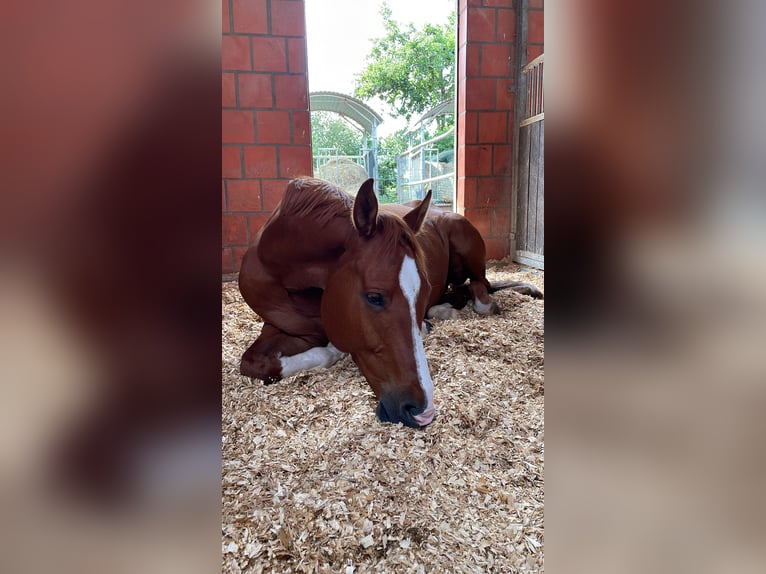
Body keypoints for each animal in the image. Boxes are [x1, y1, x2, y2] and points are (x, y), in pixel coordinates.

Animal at [238, 178, 542, 428]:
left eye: (423, 290)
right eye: (374, 297)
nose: (423, 412)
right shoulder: (281, 330)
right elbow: (253, 364)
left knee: (481, 290)